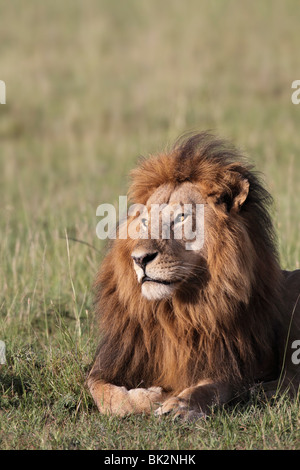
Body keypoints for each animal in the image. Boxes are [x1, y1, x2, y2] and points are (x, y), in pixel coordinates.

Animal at [87, 131, 300, 418]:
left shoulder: (231, 364)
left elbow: (212, 388)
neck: (174, 312)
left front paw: (179, 404)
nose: (139, 259)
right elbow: (102, 392)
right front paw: (152, 397)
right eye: (144, 221)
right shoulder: (111, 361)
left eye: (181, 218)